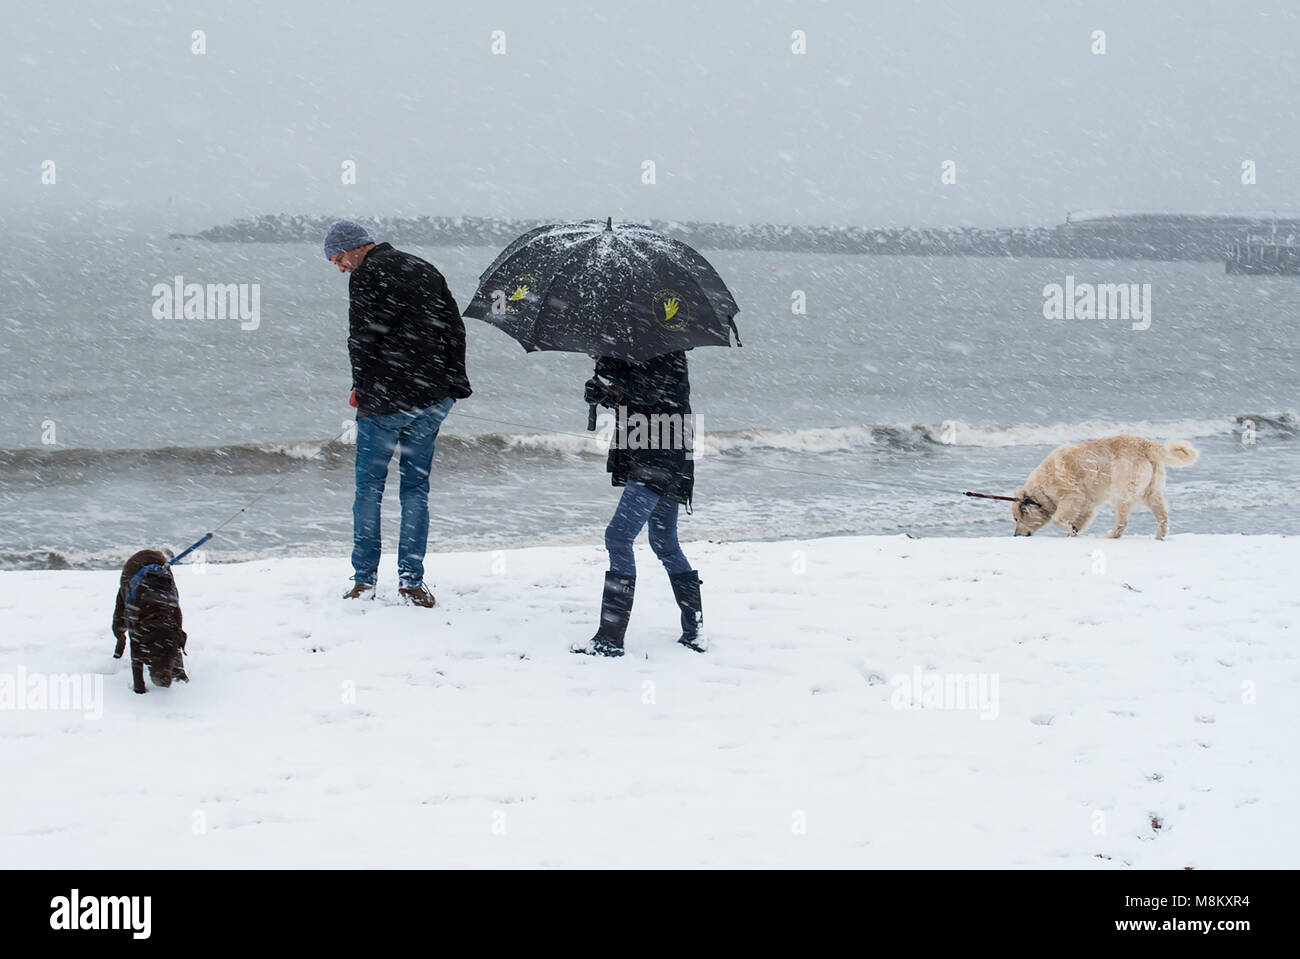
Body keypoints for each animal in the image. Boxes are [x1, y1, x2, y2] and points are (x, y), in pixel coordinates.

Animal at [111, 548, 189, 691]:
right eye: (153, 655)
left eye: (172, 656)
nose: (165, 682)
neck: (158, 610)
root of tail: (145, 550)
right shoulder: (136, 640)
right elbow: (137, 667)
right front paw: (140, 691)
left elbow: (180, 657)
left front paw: (182, 677)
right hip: (119, 614)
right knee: (120, 637)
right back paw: (117, 654)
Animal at [1013, 434, 1196, 537]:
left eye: (1016, 518)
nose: (1015, 535)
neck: (1041, 489)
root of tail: (1145, 444)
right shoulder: (1085, 506)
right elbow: (1078, 521)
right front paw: (1073, 532)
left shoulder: (1072, 496)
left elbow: (1058, 519)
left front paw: (1070, 529)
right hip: (1151, 492)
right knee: (1163, 518)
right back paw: (1160, 537)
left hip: (1121, 491)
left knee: (1122, 523)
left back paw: (1109, 536)